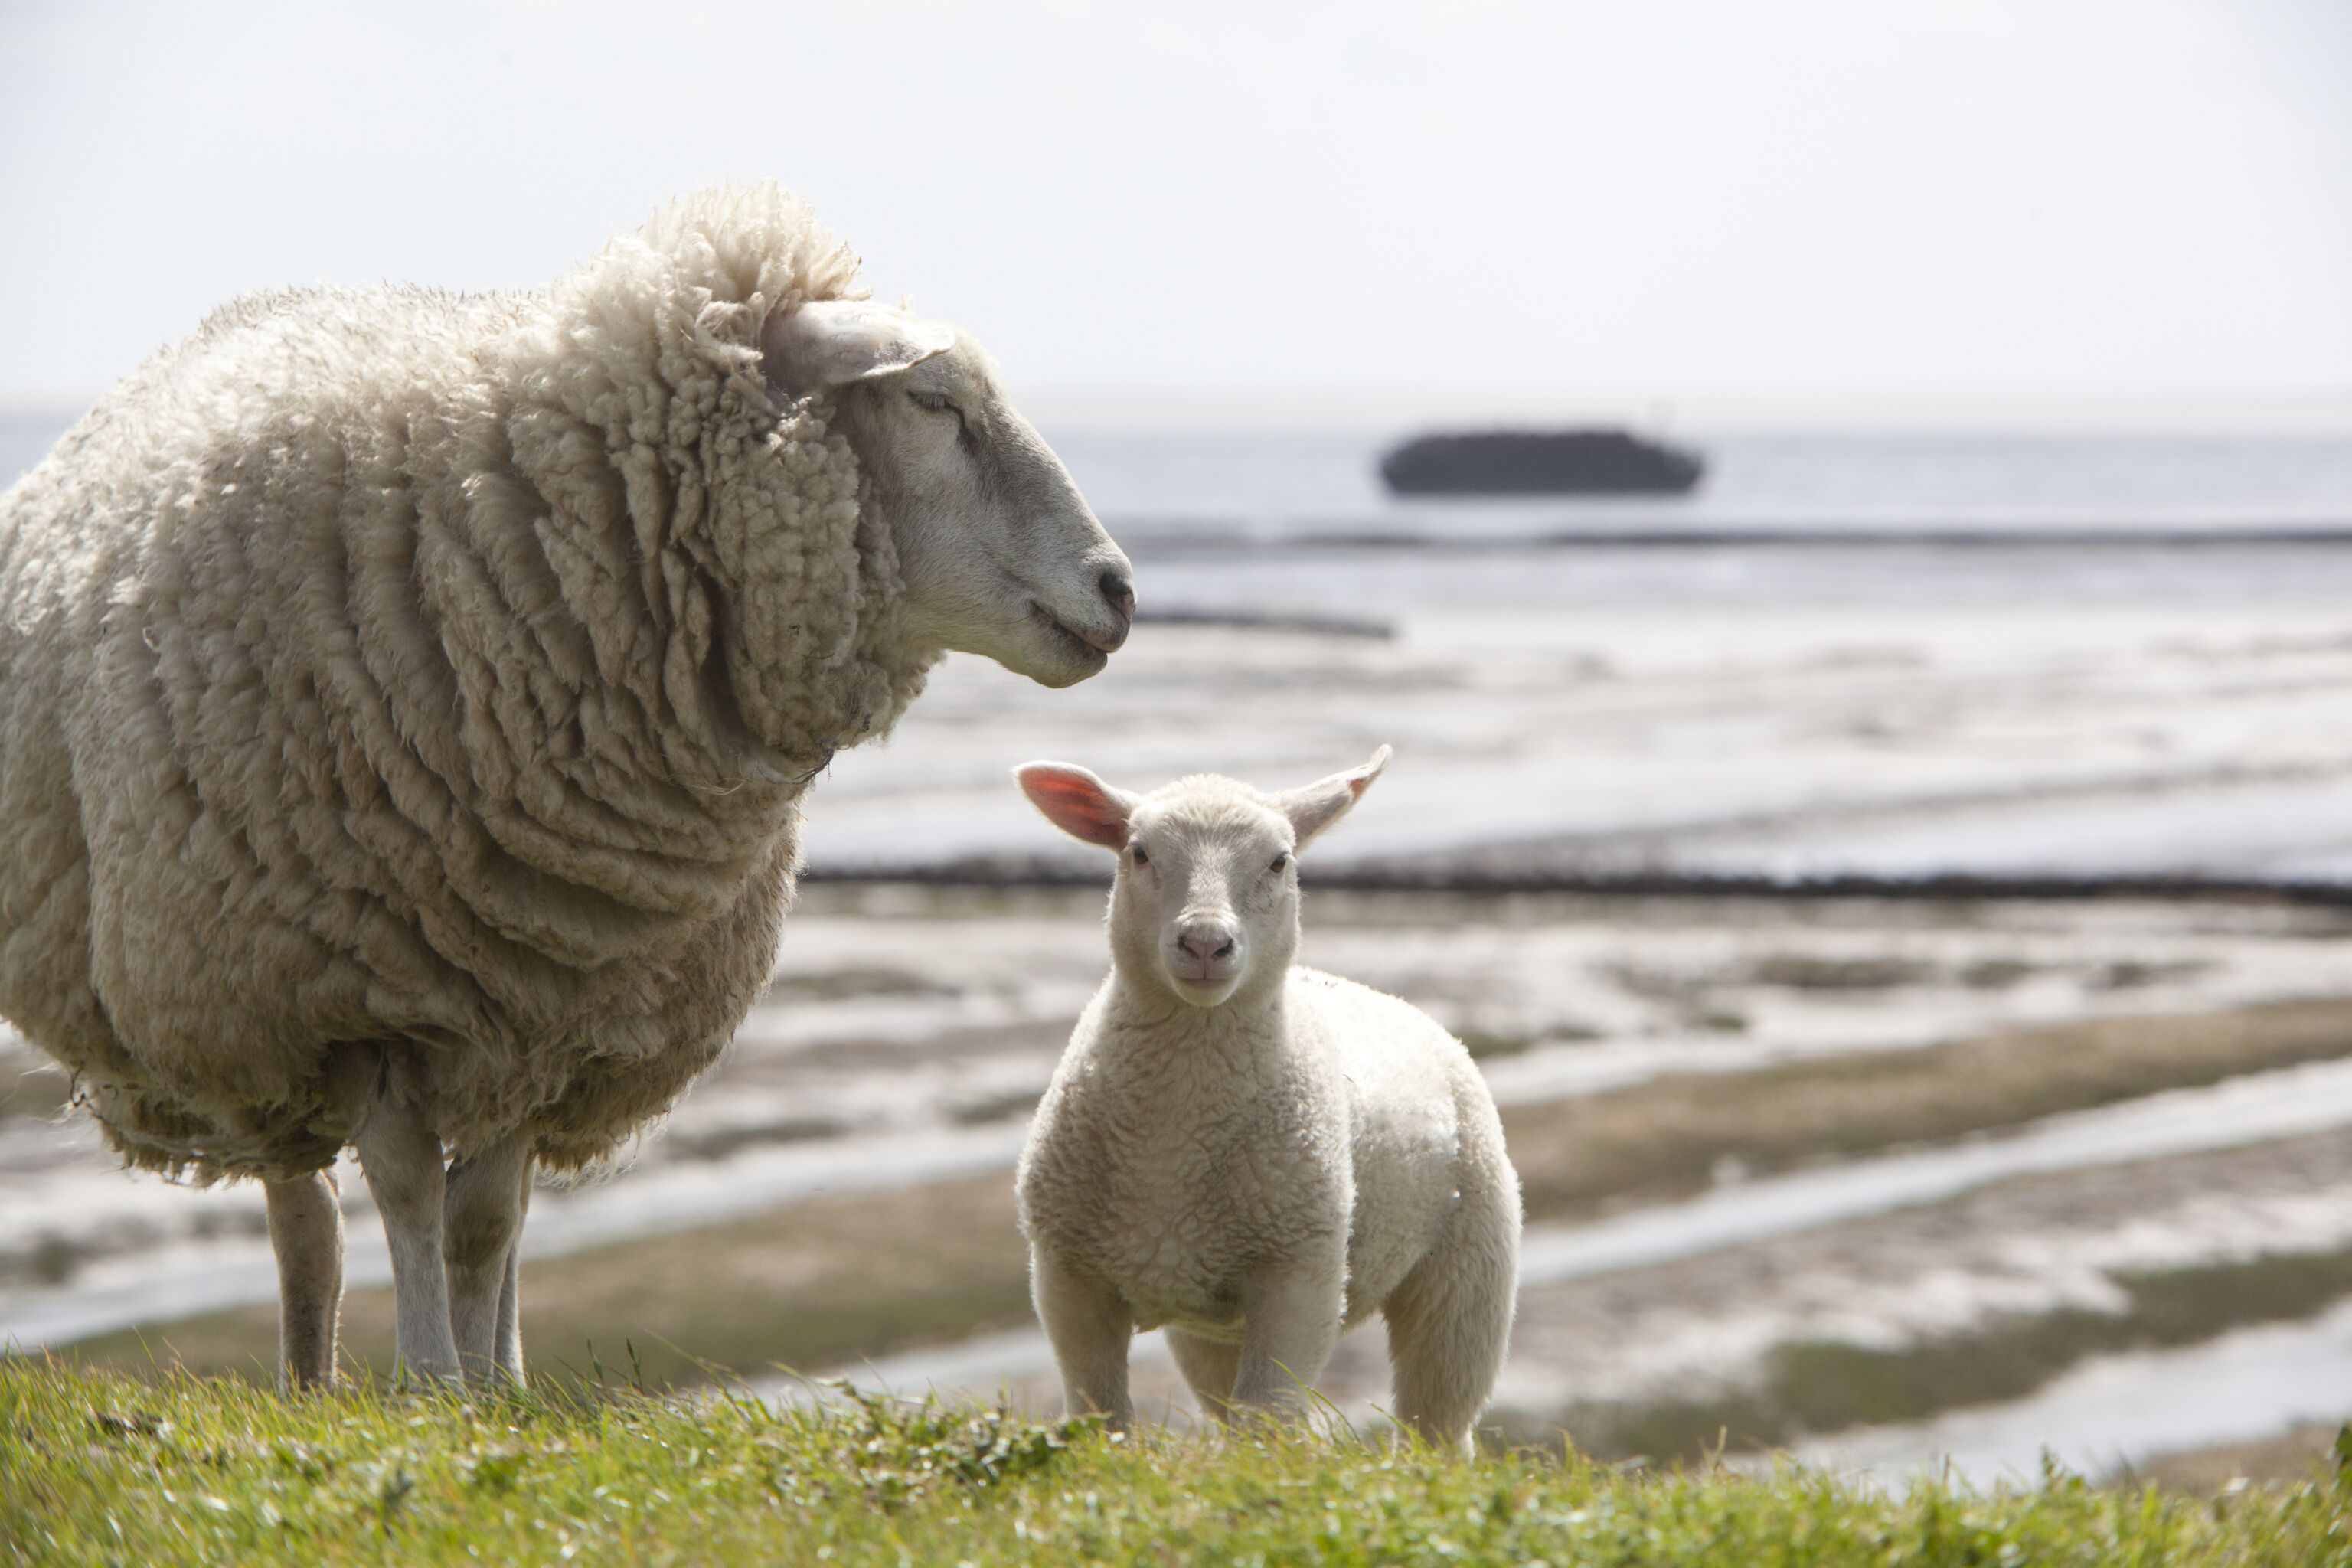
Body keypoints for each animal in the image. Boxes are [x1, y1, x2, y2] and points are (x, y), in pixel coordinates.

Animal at [0, 182, 1135, 1390]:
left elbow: (487, 1215)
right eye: (932, 400)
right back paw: (315, 1380)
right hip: (234, 996)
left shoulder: (551, 995)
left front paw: (493, 1388)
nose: (1119, 589)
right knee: (305, 1218)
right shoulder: (361, 995)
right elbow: (408, 1190)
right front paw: (428, 1379)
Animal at [1011, 748, 1521, 1449]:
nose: (1204, 944)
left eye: (1280, 861)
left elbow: (1269, 1422)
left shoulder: (1301, 1276)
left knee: (1439, 1424)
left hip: (1470, 1271)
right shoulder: (1066, 1277)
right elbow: (1103, 1417)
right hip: (1207, 1326)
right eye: (1138, 853)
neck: (1174, 1135)